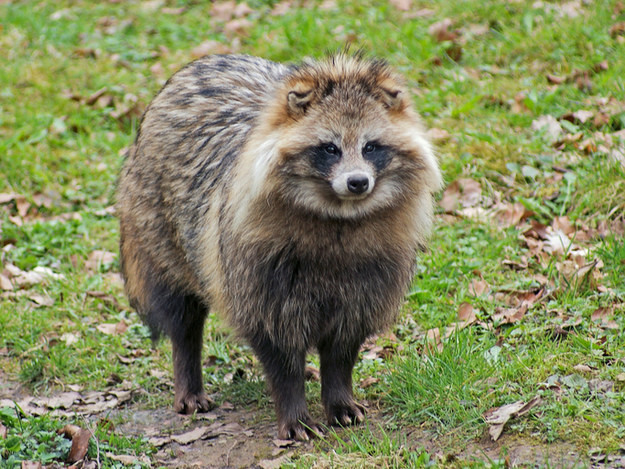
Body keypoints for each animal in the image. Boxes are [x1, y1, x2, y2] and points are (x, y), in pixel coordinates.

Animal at [116, 54, 438, 438]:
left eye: (370, 146)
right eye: (330, 148)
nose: (358, 182)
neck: (340, 215)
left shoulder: (372, 274)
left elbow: (343, 345)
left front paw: (339, 395)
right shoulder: (257, 269)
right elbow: (277, 345)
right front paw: (294, 408)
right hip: (158, 229)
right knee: (182, 315)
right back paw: (188, 373)